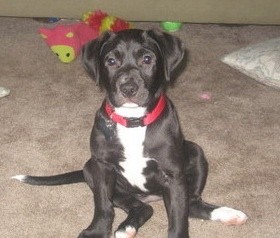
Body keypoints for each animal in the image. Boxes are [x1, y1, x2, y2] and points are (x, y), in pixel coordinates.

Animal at [14, 29, 247, 238]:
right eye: (110, 61)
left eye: (147, 59)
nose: (128, 88)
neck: (133, 121)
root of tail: (152, 197)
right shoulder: (102, 167)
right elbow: (103, 205)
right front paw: (97, 232)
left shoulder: (173, 175)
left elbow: (178, 219)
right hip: (91, 168)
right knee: (142, 207)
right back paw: (127, 228)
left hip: (195, 152)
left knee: (191, 203)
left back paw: (227, 213)